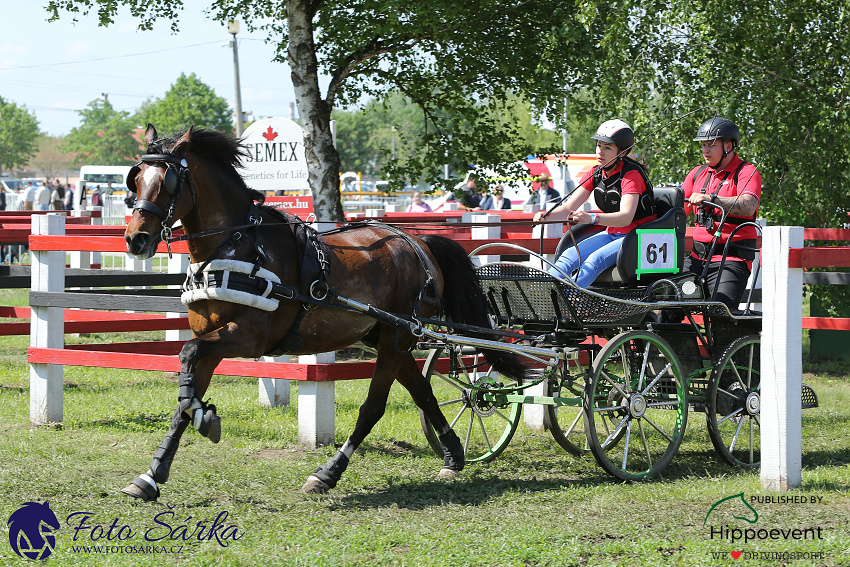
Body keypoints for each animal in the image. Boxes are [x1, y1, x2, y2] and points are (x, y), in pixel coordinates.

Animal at [121, 125, 528, 502]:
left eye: (168, 182)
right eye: (136, 179)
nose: (136, 239)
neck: (239, 246)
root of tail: (416, 242)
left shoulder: (248, 337)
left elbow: (188, 357)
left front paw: (206, 419)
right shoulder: (212, 338)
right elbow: (184, 394)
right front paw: (152, 474)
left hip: (395, 340)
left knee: (373, 407)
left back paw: (328, 472)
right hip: (389, 338)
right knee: (423, 392)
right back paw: (453, 456)